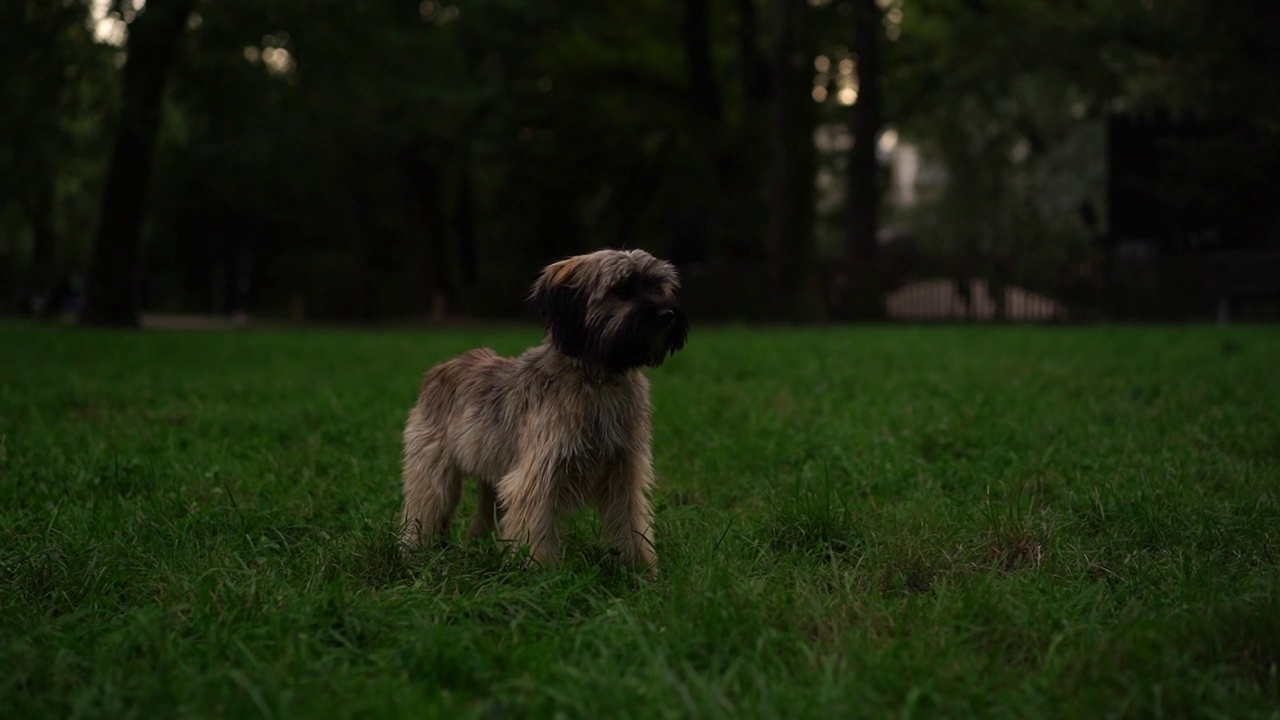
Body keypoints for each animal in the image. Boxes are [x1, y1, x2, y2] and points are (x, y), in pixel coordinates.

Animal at [396, 245, 691, 571]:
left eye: (658, 287)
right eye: (622, 290)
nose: (667, 315)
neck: (596, 378)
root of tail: (437, 371)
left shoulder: (624, 470)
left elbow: (631, 523)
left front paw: (642, 571)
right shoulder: (539, 473)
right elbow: (535, 529)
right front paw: (541, 574)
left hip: (490, 475)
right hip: (434, 474)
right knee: (422, 510)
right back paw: (414, 553)